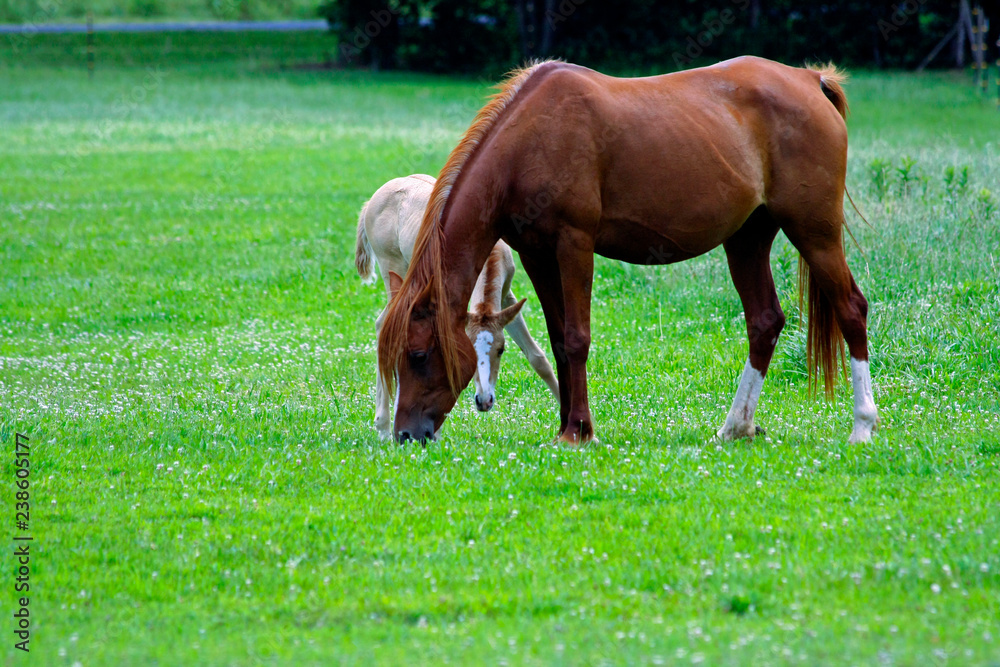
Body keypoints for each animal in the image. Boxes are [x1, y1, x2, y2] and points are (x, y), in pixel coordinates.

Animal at [355, 174, 559, 439]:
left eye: (501, 350)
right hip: (393, 270)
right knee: (385, 326)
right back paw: (382, 427)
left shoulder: (507, 298)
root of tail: (372, 201)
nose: (484, 401)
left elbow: (537, 357)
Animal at [378, 56, 879, 446]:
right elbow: (558, 341)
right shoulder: (539, 256)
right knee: (764, 322)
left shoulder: (574, 245)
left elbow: (577, 338)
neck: (531, 140)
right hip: (747, 239)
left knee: (851, 308)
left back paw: (862, 425)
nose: (405, 434)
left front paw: (577, 431)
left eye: (418, 355)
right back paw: (735, 426)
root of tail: (809, 79)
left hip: (814, 233)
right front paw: (569, 425)